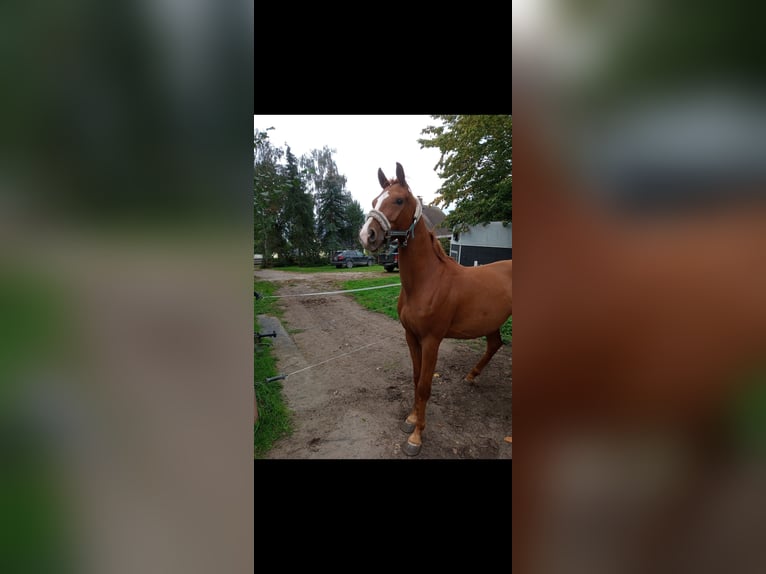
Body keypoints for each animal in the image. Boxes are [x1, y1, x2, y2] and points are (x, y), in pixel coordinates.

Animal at [358, 163, 512, 460]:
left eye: (399, 200)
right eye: (373, 201)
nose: (367, 236)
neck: (426, 281)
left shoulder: (431, 341)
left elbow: (425, 385)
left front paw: (416, 437)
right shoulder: (411, 336)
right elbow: (416, 377)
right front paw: (411, 419)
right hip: (492, 324)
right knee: (495, 345)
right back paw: (471, 376)